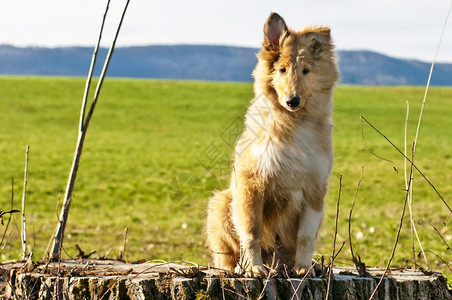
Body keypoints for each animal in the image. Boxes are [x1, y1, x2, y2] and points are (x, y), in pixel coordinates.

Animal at [206, 12, 340, 278]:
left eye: (306, 70)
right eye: (282, 69)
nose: (292, 101)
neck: (292, 123)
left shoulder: (315, 190)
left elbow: (305, 236)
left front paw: (303, 267)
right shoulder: (251, 186)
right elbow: (252, 233)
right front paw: (253, 268)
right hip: (221, 203)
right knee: (227, 257)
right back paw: (242, 267)